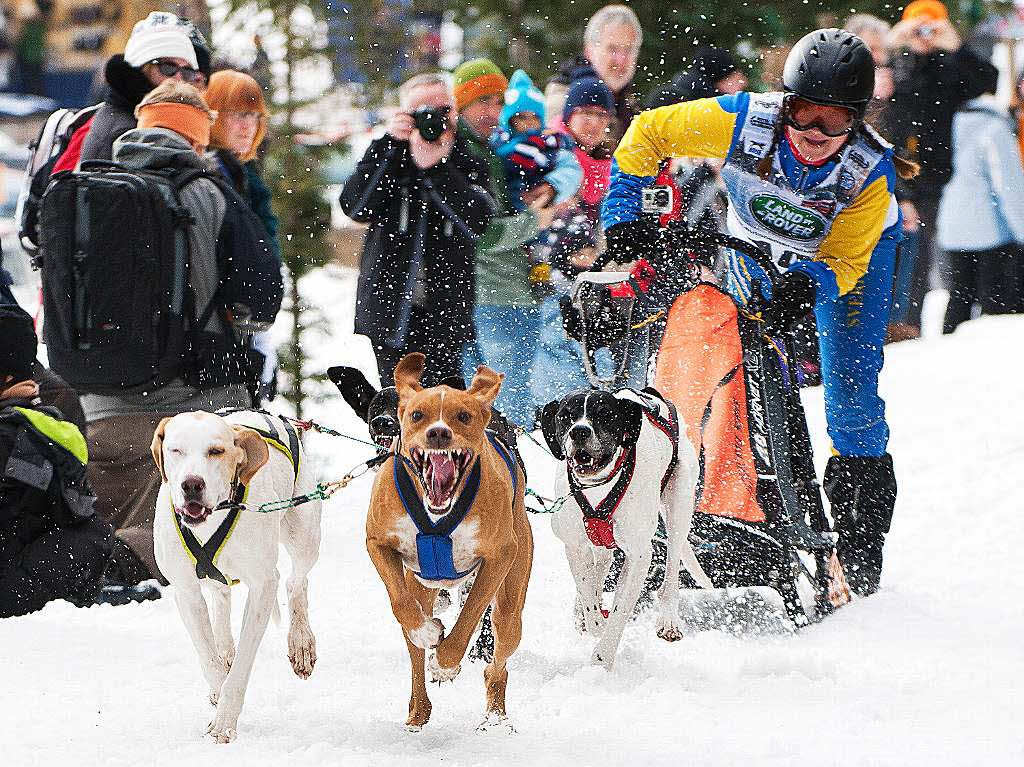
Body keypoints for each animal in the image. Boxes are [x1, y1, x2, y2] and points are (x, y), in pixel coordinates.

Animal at [149, 409, 319, 737]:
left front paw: (225, 722)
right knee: (221, 596)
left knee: (296, 582)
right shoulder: (186, 592)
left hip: (304, 535)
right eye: (176, 450)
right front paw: (218, 690)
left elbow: (241, 668)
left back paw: (301, 642)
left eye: (216, 451)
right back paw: (225, 646)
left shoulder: (263, 586)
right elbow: (208, 658)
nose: (192, 484)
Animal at [364, 352, 532, 729]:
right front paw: (429, 635)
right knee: (413, 649)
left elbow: (469, 617)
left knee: (497, 663)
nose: (438, 432)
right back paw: (417, 711)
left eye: (463, 416)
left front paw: (445, 663)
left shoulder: (499, 557)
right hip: (421, 589)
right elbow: (401, 605)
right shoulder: (378, 543)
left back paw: (495, 718)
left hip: (511, 608)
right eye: (416, 415)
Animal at [544, 385, 712, 667]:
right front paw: (592, 620)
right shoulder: (575, 547)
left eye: (605, 414)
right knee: (599, 571)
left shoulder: (640, 555)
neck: (599, 486)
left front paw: (602, 658)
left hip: (678, 506)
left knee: (671, 569)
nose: (580, 431)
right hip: (601, 545)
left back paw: (668, 620)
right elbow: (589, 594)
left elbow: (621, 607)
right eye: (565, 415)